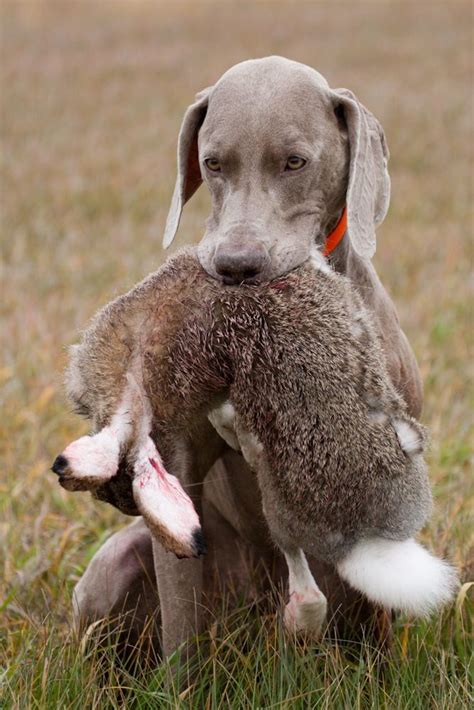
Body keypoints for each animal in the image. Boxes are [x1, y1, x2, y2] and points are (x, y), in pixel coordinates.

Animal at [68, 58, 424, 660]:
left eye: (295, 162)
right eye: (212, 163)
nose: (236, 267)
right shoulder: (180, 461)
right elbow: (180, 634)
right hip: (117, 567)